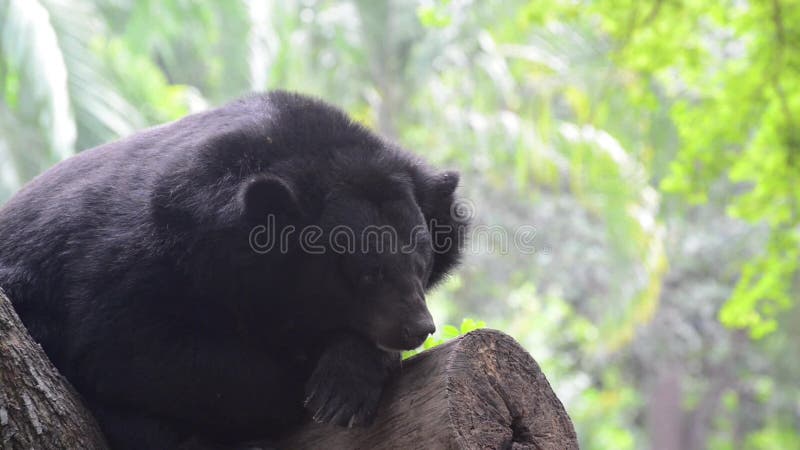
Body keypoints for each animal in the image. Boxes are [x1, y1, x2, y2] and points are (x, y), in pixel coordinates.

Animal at [0, 91, 468, 450]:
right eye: (366, 273)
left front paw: (347, 380)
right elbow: (128, 346)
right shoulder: (137, 260)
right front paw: (317, 383)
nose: (417, 328)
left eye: (422, 263)